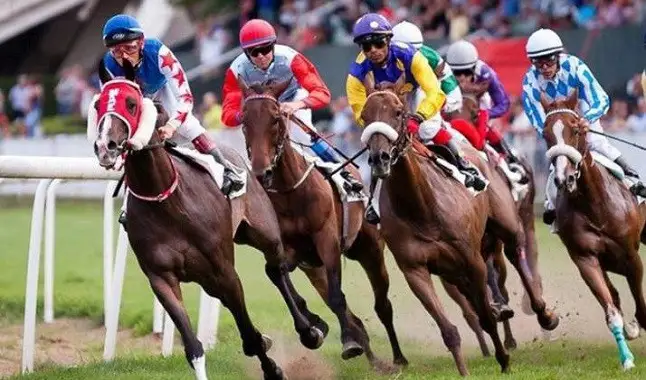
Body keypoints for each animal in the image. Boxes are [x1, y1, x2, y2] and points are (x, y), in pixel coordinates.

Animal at [91, 61, 324, 378]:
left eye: (131, 103)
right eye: (97, 104)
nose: (106, 146)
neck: (167, 201)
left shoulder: (225, 271)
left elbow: (248, 334)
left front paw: (273, 366)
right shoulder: (161, 277)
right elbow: (193, 347)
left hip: (264, 234)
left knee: (276, 270)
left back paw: (310, 328)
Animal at [240, 76, 408, 368]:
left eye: (276, 118)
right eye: (244, 120)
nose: (263, 172)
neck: (289, 193)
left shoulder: (326, 240)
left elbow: (337, 297)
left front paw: (348, 341)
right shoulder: (286, 248)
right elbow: (278, 276)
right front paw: (313, 327)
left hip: (370, 250)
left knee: (382, 305)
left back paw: (395, 357)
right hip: (313, 266)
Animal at [362, 74, 560, 374]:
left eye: (397, 113)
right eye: (364, 115)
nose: (379, 159)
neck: (421, 207)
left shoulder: (472, 259)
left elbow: (487, 314)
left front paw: (504, 360)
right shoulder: (415, 270)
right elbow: (451, 328)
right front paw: (465, 370)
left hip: (508, 227)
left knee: (517, 258)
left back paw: (542, 314)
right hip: (453, 270)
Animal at [540, 90, 646, 370]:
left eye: (576, 129)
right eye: (545, 133)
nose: (564, 178)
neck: (595, 206)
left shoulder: (631, 256)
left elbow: (641, 305)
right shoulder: (585, 258)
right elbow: (612, 309)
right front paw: (627, 358)